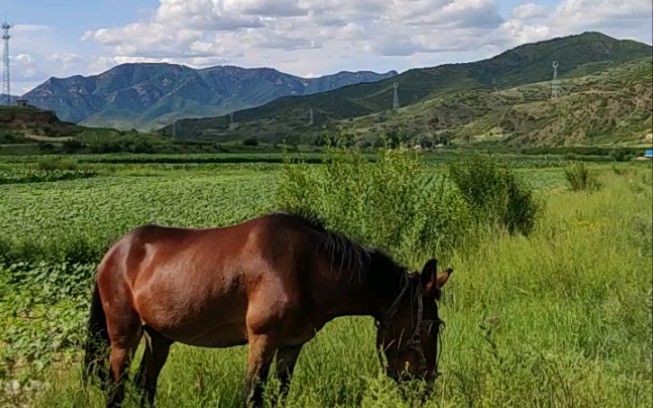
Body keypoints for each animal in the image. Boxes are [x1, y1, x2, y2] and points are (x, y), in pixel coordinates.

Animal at [83, 210, 454, 408]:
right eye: (430, 326)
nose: (426, 385)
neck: (309, 267)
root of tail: (113, 252)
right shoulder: (262, 340)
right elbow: (254, 395)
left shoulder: (291, 345)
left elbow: (280, 394)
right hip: (123, 337)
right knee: (116, 388)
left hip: (158, 336)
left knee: (146, 386)